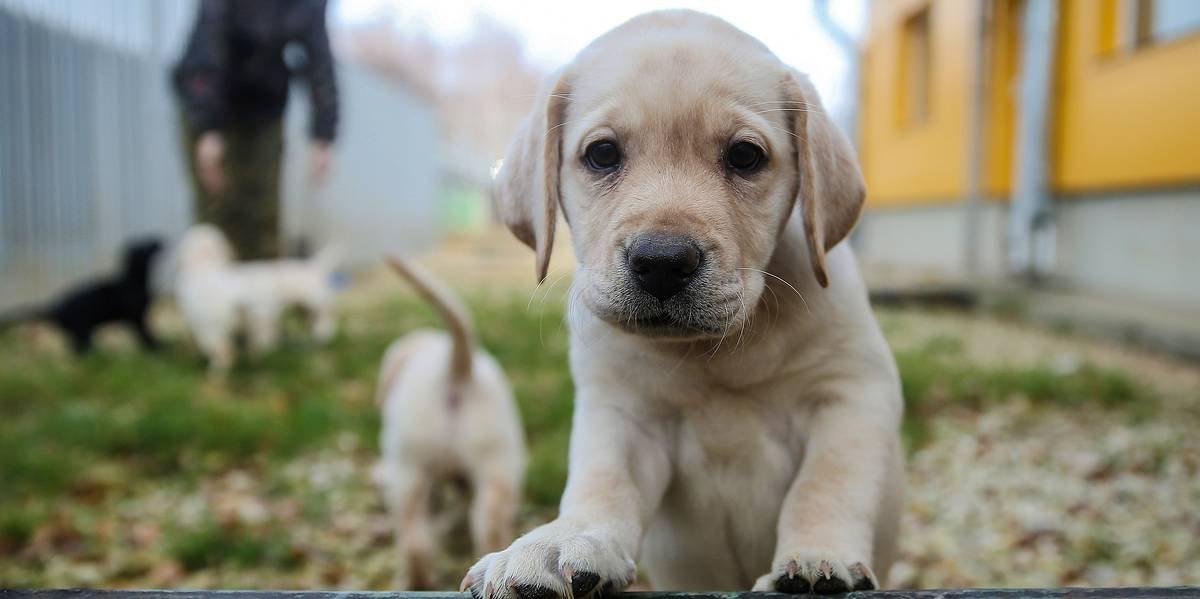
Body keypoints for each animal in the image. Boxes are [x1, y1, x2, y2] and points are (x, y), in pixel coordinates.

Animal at [171, 225, 338, 374]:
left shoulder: (198, 322)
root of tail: (315, 267)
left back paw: (217, 372)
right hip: (287, 313)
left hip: (213, 330)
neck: (204, 266)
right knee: (264, 342)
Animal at [374, 256, 525, 590]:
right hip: (494, 463)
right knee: (487, 522)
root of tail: (455, 370)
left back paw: (416, 580)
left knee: (414, 538)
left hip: (409, 469)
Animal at [463, 9, 902, 599]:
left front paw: (818, 556)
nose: (663, 262)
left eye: (745, 156)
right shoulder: (624, 415)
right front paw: (560, 542)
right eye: (602, 154)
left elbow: (827, 483)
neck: (713, 352)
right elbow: (603, 483)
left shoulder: (851, 393)